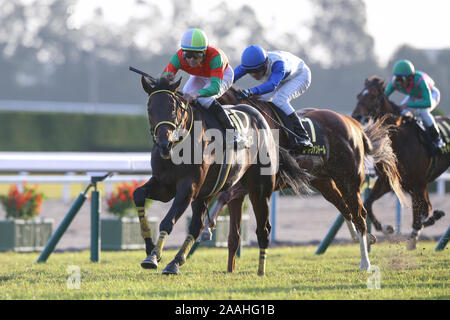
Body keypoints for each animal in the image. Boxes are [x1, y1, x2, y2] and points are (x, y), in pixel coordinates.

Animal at [132, 75, 312, 276]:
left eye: (173, 108)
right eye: (150, 108)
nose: (164, 144)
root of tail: (261, 118)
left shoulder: (188, 188)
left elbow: (167, 221)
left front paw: (154, 257)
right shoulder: (164, 186)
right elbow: (138, 194)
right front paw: (150, 248)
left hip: (259, 190)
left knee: (263, 229)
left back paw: (260, 270)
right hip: (207, 193)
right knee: (197, 225)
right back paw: (176, 261)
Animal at [354, 75, 448, 250]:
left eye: (373, 96)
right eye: (358, 95)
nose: (356, 116)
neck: (399, 140)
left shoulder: (419, 182)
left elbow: (424, 209)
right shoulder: (387, 180)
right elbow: (368, 204)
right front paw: (386, 228)